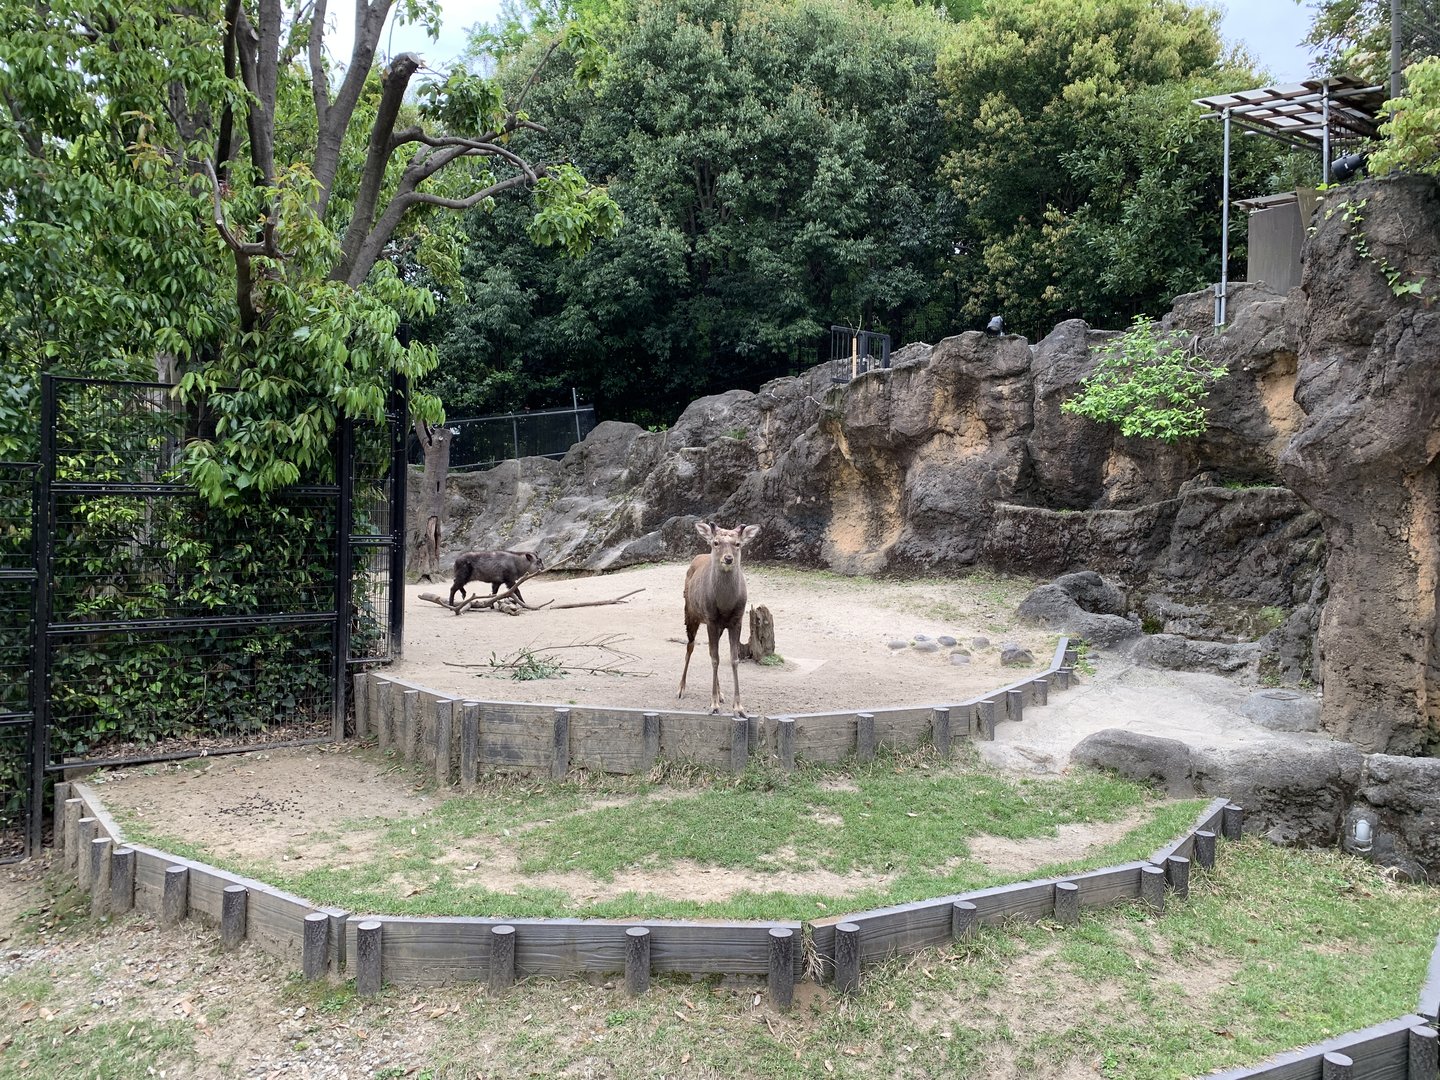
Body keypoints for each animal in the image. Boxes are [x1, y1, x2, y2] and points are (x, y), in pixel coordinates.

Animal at [678, 521, 761, 716]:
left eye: (738, 544)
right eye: (716, 542)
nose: (728, 558)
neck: (725, 604)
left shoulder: (736, 620)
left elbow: (733, 659)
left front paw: (738, 707)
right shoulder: (711, 619)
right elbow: (715, 659)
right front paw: (714, 705)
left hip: (719, 627)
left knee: (708, 651)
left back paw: (721, 693)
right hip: (690, 613)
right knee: (690, 646)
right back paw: (681, 688)